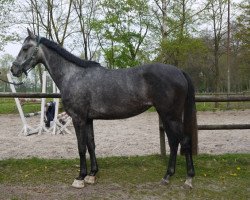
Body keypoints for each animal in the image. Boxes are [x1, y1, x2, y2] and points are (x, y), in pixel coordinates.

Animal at [10, 28, 197, 188]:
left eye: (25, 48)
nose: (14, 69)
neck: (73, 75)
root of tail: (179, 72)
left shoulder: (78, 119)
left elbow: (81, 147)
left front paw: (80, 177)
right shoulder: (88, 119)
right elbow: (91, 145)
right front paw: (92, 174)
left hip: (170, 116)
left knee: (183, 141)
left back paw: (187, 179)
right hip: (167, 116)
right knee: (174, 142)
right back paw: (168, 176)